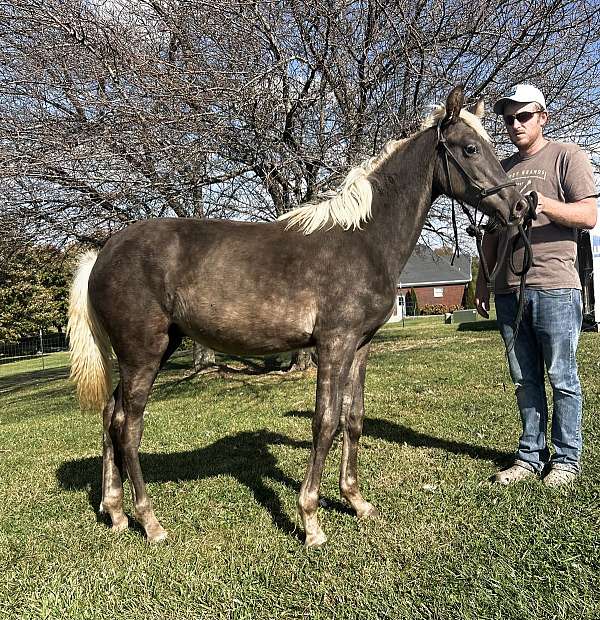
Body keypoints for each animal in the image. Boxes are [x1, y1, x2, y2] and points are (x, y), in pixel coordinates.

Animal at [65, 87, 524, 548]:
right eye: (470, 148)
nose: (519, 205)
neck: (363, 240)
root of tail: (101, 254)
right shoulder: (334, 344)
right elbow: (325, 422)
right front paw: (311, 520)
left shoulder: (360, 346)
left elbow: (353, 419)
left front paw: (356, 502)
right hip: (142, 353)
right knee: (127, 425)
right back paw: (150, 521)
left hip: (154, 350)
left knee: (110, 415)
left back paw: (115, 511)